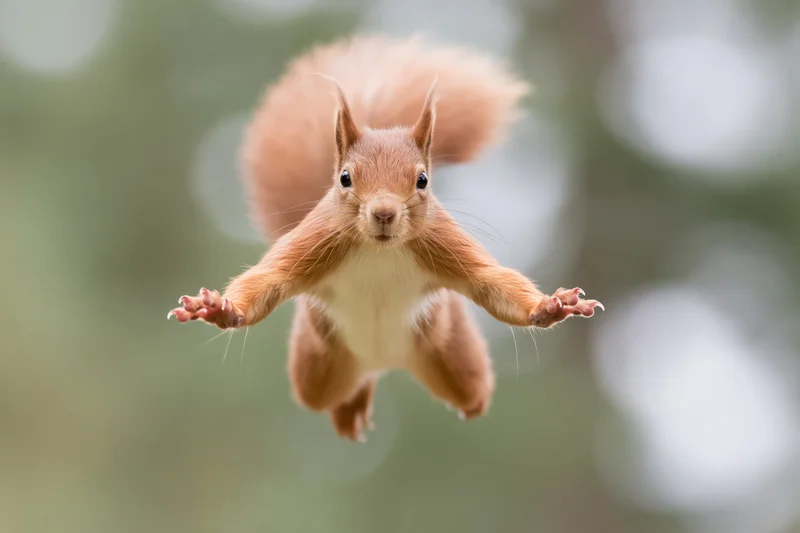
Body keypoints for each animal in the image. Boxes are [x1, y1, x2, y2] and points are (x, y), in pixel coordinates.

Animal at [168, 35, 603, 442]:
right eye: (345, 178)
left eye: (422, 180)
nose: (383, 213)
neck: (379, 250)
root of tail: (383, 363)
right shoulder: (317, 242)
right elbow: (268, 280)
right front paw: (219, 308)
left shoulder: (442, 243)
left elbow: (491, 281)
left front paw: (550, 307)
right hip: (317, 364)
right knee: (329, 393)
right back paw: (349, 413)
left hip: (451, 350)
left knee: (469, 389)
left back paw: (467, 404)